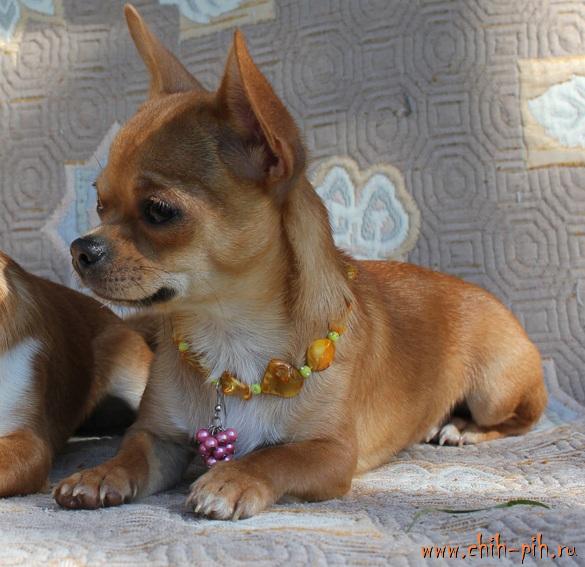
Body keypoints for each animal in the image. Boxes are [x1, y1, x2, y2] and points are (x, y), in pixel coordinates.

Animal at [53, 4, 547, 519]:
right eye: (99, 205)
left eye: (159, 211)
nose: (81, 248)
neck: (230, 333)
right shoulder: (159, 437)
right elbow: (130, 451)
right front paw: (100, 473)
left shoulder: (330, 453)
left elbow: (275, 456)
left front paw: (231, 478)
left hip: (494, 388)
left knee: (522, 417)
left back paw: (461, 427)